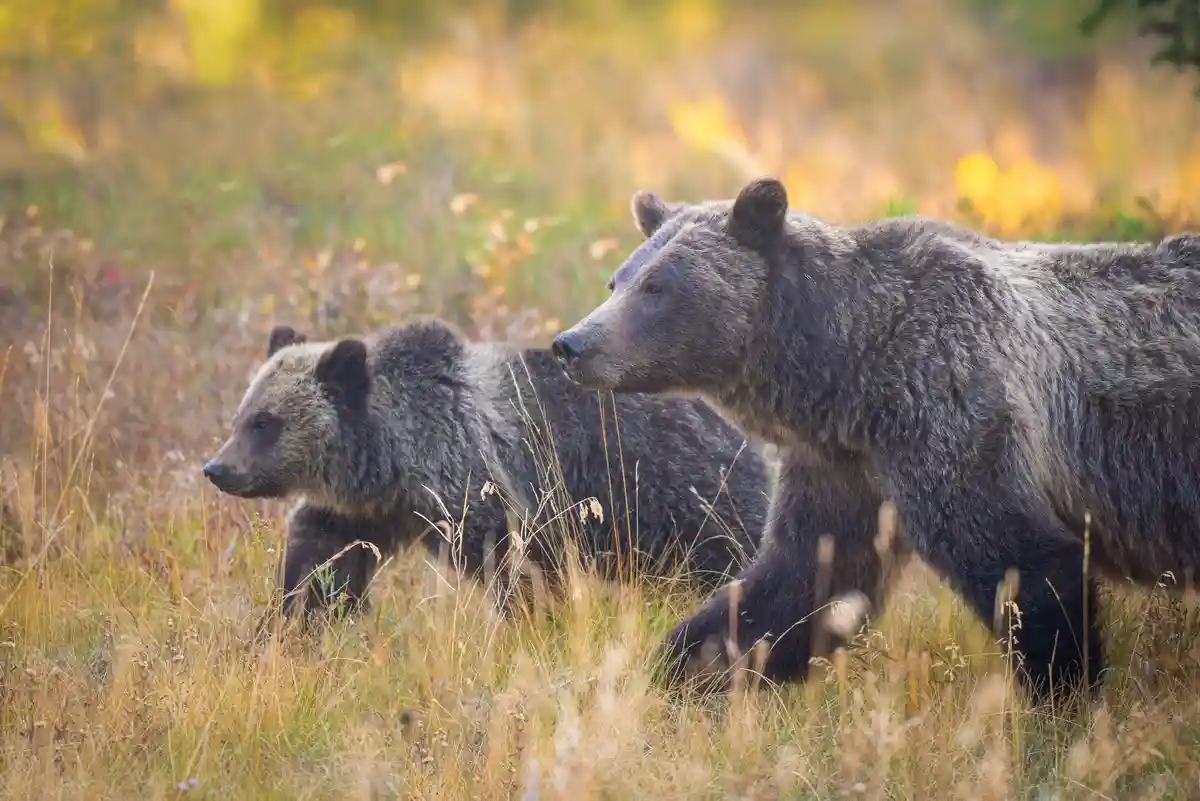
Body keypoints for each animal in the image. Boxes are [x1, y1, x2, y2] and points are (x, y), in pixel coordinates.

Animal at [202, 317, 775, 623]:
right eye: (242, 415)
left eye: (264, 423)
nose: (217, 468)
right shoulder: (365, 513)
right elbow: (322, 564)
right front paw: (297, 619)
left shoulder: (486, 496)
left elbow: (519, 573)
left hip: (689, 497)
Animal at [551, 175, 1200, 708]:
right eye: (618, 280)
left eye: (658, 287)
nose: (572, 343)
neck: (847, 368)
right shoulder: (844, 461)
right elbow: (801, 583)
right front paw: (671, 672)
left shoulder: (950, 402)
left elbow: (1022, 562)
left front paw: (1063, 700)